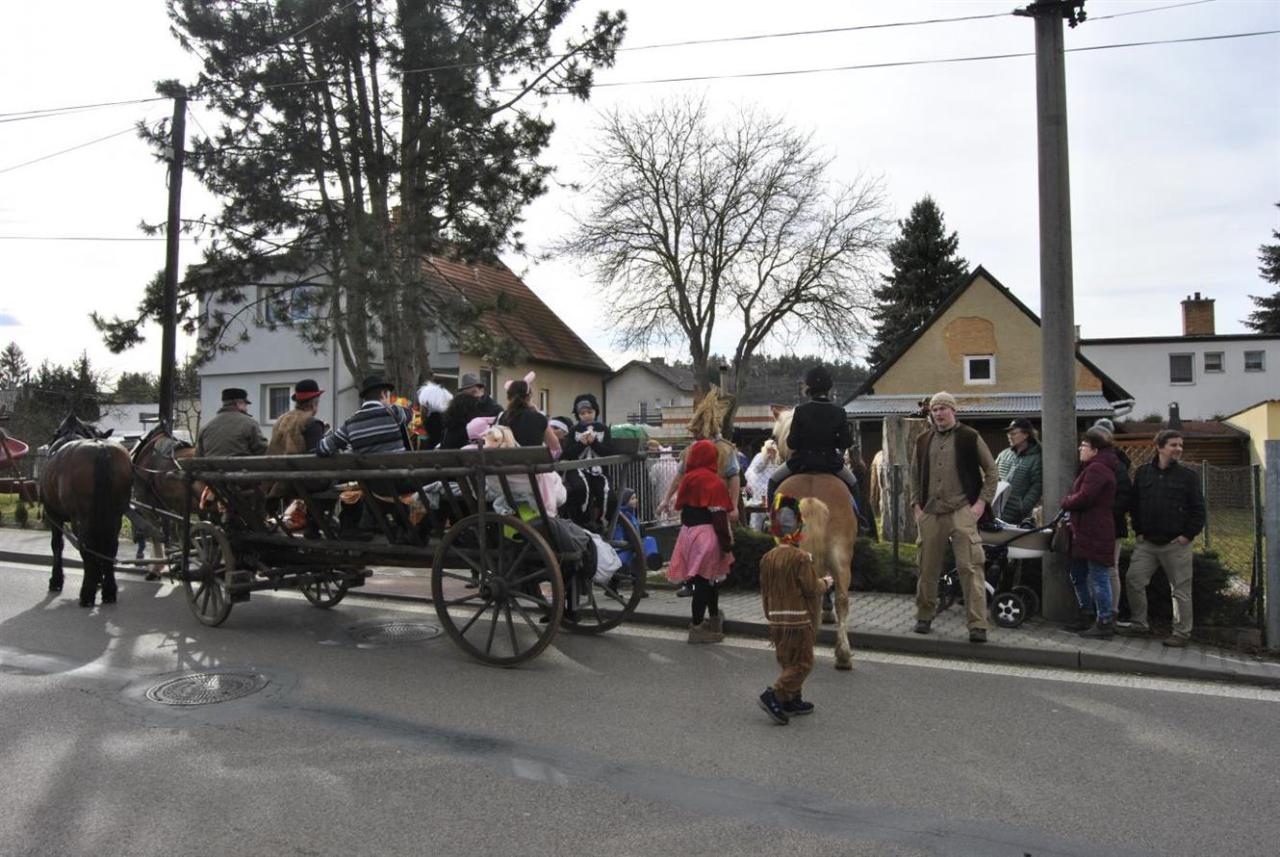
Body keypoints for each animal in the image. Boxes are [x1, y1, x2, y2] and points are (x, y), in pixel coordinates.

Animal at [40, 414, 133, 607]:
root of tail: (101, 450)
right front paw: (99, 579)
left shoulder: (53, 514)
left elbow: (57, 545)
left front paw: (56, 580)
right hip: (114, 515)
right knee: (110, 547)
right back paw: (109, 590)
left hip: (81, 517)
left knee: (86, 546)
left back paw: (87, 592)